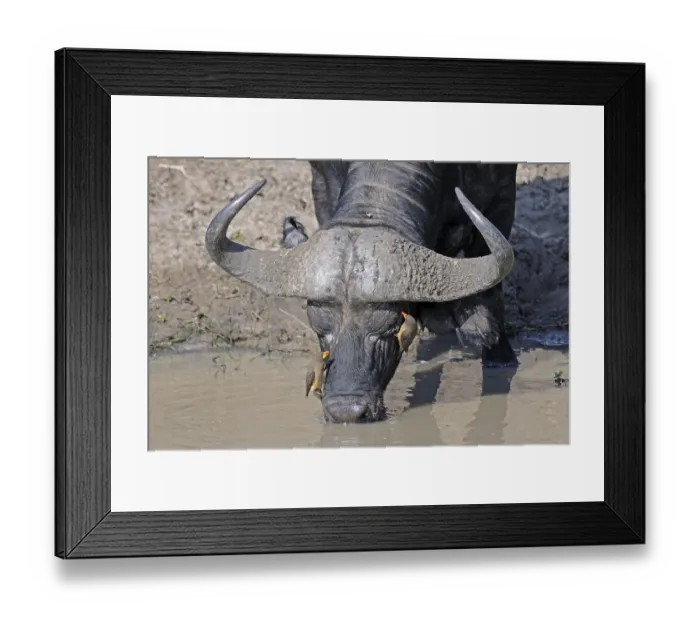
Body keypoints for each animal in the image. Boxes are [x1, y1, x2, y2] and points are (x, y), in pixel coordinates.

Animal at [206, 161, 518, 424]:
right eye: (320, 331)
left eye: (389, 329)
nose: (345, 411)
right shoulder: (322, 183)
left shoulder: (501, 196)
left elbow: (492, 293)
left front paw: (500, 356)